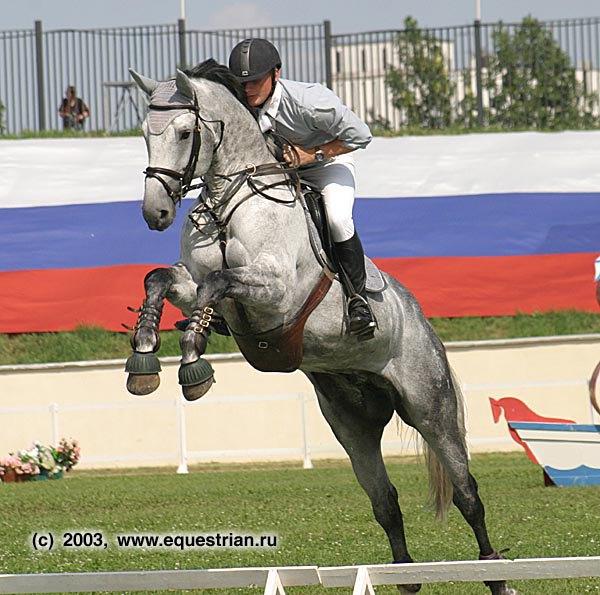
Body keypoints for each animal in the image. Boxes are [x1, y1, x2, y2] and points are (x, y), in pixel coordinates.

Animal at [127, 61, 520, 595]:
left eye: (185, 132)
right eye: (145, 134)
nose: (156, 213)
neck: (232, 200)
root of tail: (421, 320)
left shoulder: (275, 293)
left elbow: (218, 284)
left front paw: (193, 359)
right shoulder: (196, 282)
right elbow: (162, 279)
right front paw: (144, 357)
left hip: (430, 407)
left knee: (467, 494)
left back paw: (496, 575)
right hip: (351, 423)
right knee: (385, 502)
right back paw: (405, 577)